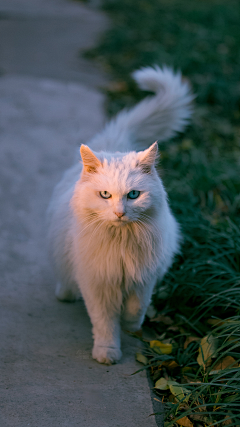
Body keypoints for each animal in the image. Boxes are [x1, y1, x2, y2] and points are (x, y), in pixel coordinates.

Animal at [47, 66, 193, 364]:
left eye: (133, 195)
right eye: (105, 195)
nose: (119, 213)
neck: (122, 241)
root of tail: (114, 146)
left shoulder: (143, 279)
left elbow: (136, 308)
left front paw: (130, 327)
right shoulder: (96, 283)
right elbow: (104, 322)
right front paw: (108, 352)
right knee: (65, 279)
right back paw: (65, 294)